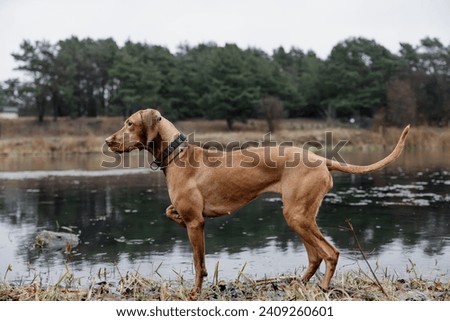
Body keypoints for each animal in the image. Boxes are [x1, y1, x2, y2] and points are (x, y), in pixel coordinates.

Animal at [105, 108, 408, 298]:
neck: (178, 154)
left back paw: (321, 288)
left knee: (330, 253)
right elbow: (169, 211)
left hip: (297, 216)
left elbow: (199, 265)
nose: (108, 141)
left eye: (130, 123)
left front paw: (194, 294)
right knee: (315, 256)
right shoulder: (192, 218)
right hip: (301, 217)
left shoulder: (196, 223)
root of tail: (322, 159)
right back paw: (297, 284)